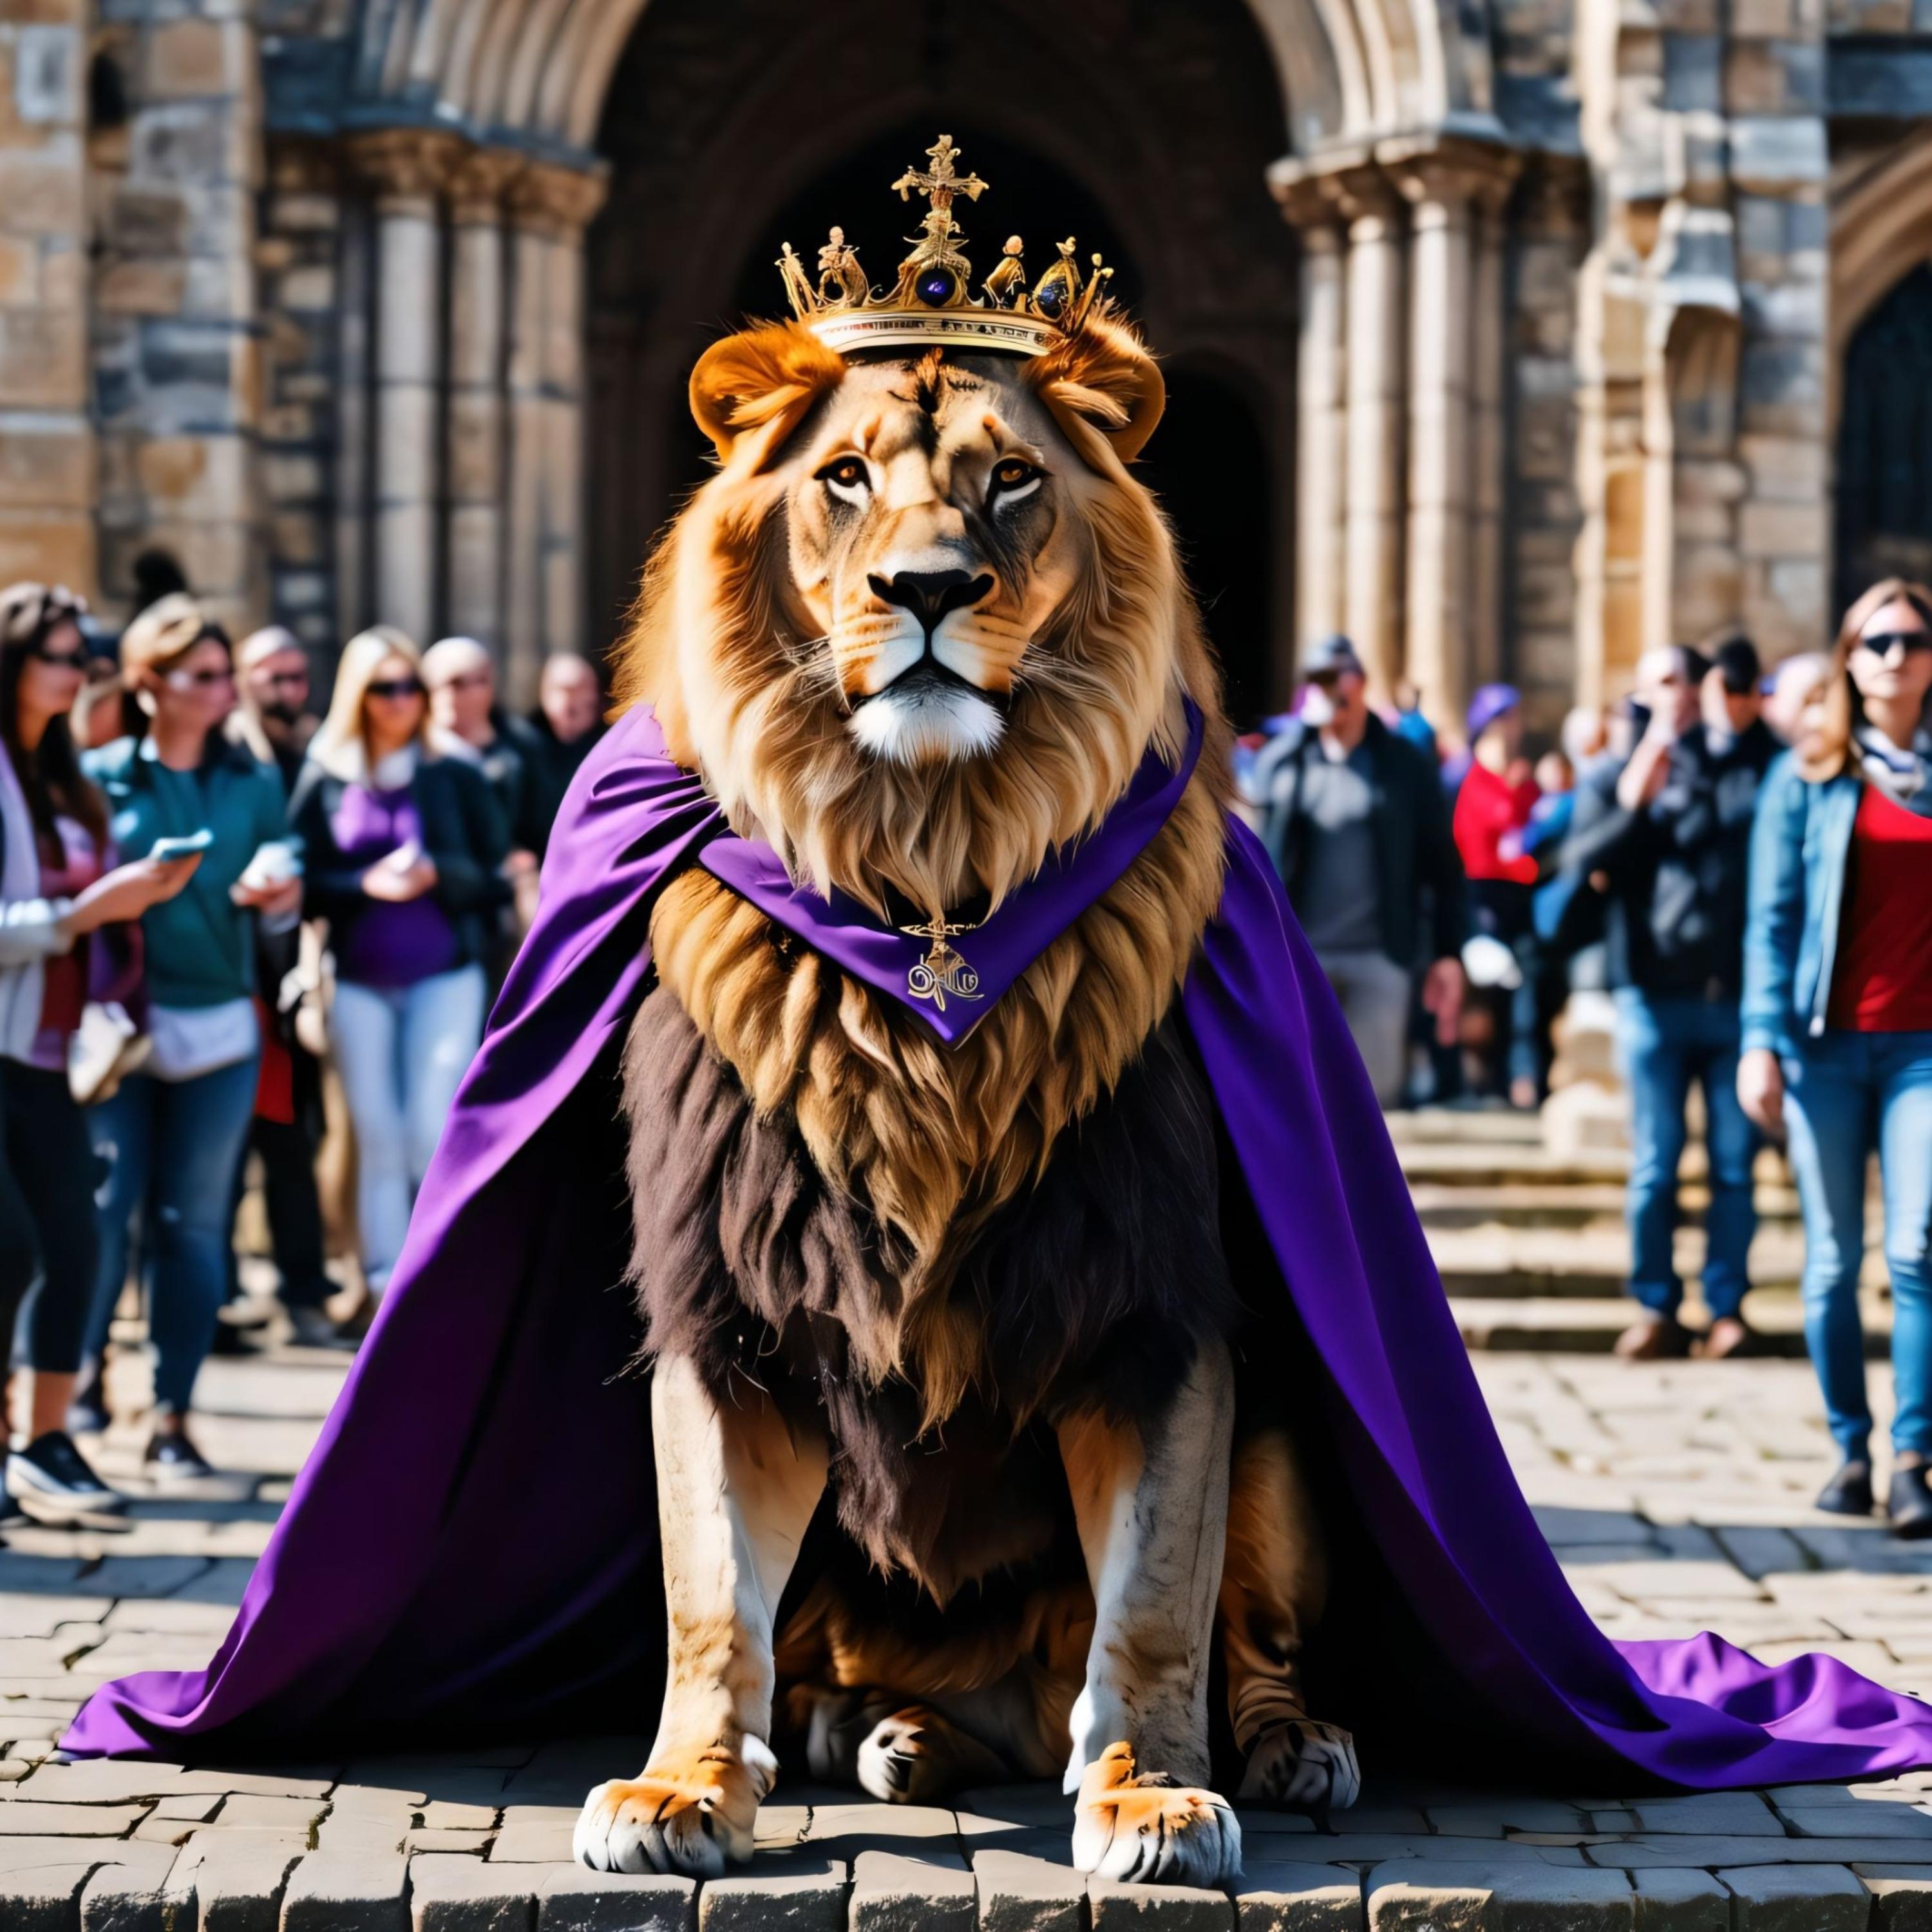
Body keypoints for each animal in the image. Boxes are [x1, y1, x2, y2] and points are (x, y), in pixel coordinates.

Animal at [571, 309, 1360, 1888]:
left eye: (1011, 479)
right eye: (847, 477)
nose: (928, 590)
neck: (929, 857)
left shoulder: (1155, 1314)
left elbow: (1156, 1605)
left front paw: (1150, 1796)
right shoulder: (729, 1311)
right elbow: (712, 1596)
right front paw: (682, 1791)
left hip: (1285, 1446)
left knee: (1238, 1644)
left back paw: (1289, 1746)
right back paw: (890, 1736)